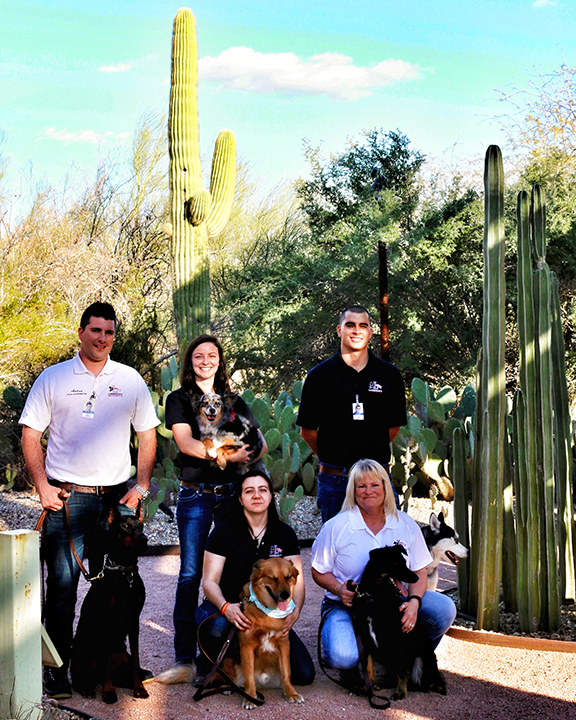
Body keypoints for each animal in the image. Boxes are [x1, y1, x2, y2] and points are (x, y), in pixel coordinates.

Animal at [70, 500, 148, 704]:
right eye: (126, 526)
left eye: (141, 525)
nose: (144, 539)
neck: (125, 572)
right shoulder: (106, 620)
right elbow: (105, 664)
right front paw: (109, 692)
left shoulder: (134, 620)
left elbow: (136, 660)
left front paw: (139, 688)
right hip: (84, 650)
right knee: (79, 677)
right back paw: (87, 688)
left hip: (122, 654)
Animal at [216, 556, 304, 708]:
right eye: (273, 578)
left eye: (288, 577)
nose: (285, 595)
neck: (269, 612)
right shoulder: (247, 647)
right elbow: (249, 676)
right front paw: (250, 697)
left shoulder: (283, 644)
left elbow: (287, 672)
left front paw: (291, 693)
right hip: (226, 659)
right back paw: (226, 688)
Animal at [348, 544, 448, 700]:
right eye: (395, 564)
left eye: (405, 562)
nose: (416, 577)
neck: (376, 596)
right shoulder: (367, 639)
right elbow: (369, 668)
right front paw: (366, 687)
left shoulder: (398, 641)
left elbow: (401, 671)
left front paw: (400, 691)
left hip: (422, 659)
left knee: (429, 680)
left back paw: (437, 687)